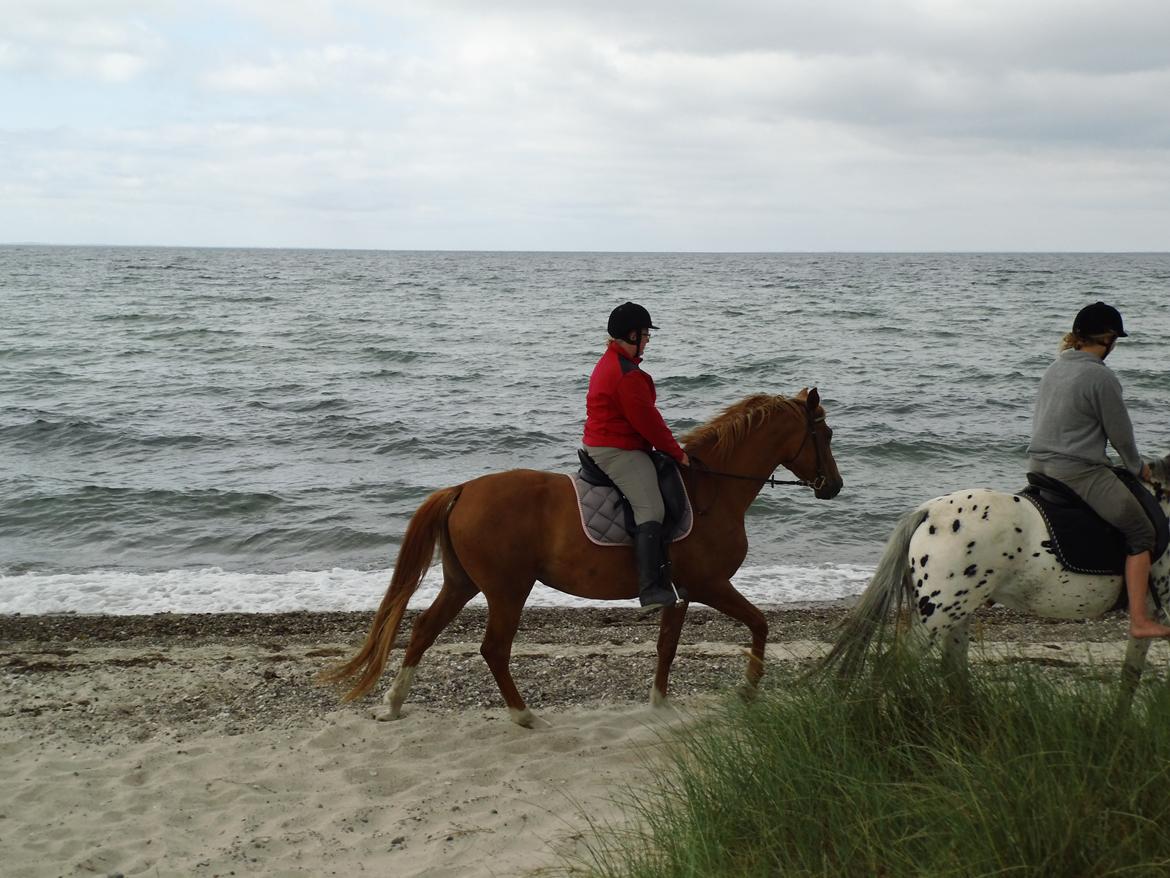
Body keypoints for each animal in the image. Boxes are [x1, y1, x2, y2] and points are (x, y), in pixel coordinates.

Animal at [320, 391, 842, 730]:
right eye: (828, 434)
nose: (834, 486)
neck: (712, 489)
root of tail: (463, 489)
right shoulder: (710, 585)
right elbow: (760, 624)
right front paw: (749, 690)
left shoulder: (680, 594)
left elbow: (667, 647)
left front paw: (660, 705)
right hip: (508, 589)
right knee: (494, 649)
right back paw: (523, 714)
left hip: (461, 583)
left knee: (424, 630)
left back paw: (393, 704)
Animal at [823, 456, 1170, 707]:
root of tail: (929, 511)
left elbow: (1130, 676)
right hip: (938, 614)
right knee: (891, 666)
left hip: (957, 612)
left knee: (952, 669)